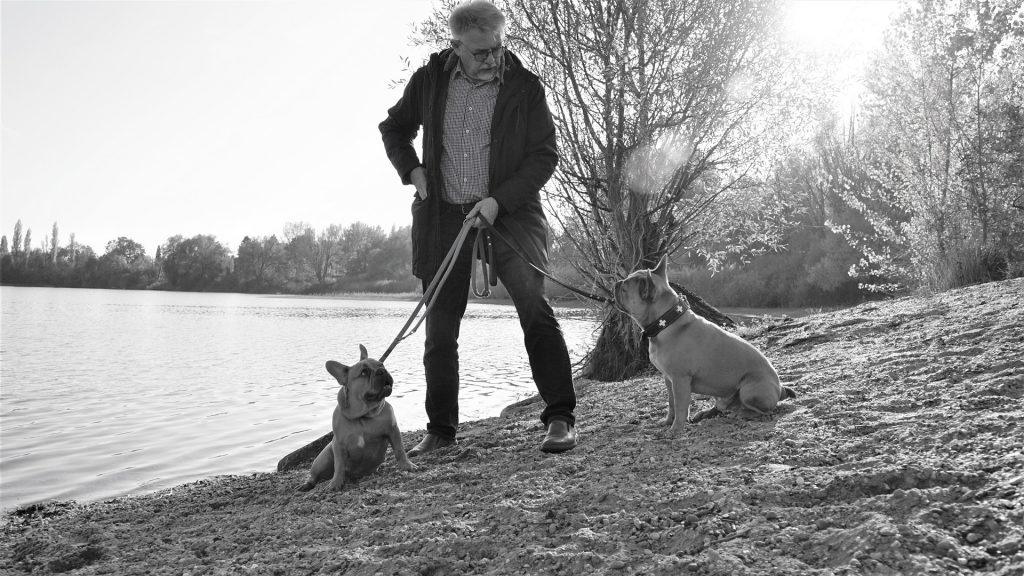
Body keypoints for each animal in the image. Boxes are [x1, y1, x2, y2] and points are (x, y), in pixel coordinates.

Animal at [299, 342, 413, 491]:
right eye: (364, 373)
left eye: (381, 365)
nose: (381, 371)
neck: (364, 415)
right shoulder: (338, 444)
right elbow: (339, 465)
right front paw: (336, 483)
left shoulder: (393, 430)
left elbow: (400, 450)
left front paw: (407, 465)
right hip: (323, 459)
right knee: (315, 475)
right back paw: (307, 484)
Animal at [610, 256, 794, 430]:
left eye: (624, 288)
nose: (616, 283)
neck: (667, 322)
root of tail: (780, 388)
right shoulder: (669, 380)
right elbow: (671, 404)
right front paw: (668, 422)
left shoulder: (680, 380)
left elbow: (680, 407)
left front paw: (676, 430)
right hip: (724, 394)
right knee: (722, 406)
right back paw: (706, 413)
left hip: (749, 391)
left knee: (763, 411)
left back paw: (742, 414)